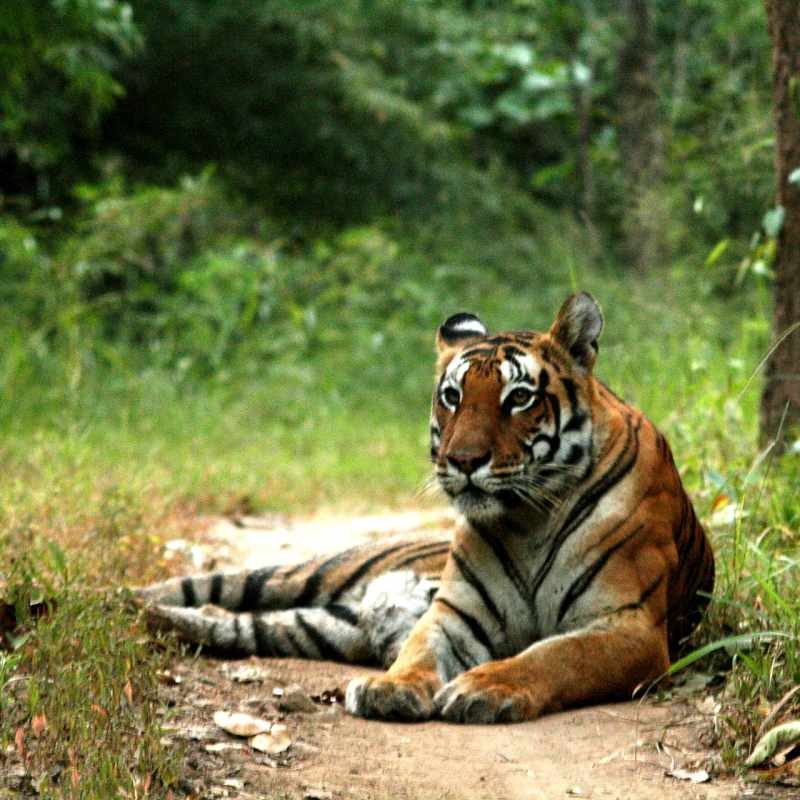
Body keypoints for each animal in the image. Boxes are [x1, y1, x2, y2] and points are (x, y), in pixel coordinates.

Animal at [139, 292, 714, 724]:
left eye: (519, 398)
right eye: (453, 395)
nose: (463, 460)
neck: (528, 518)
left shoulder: (627, 626)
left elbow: (555, 656)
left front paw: (484, 688)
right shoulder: (453, 613)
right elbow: (417, 653)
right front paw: (389, 689)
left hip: (325, 624)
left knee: (239, 623)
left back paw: (167, 620)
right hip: (312, 572)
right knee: (216, 586)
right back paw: (129, 602)